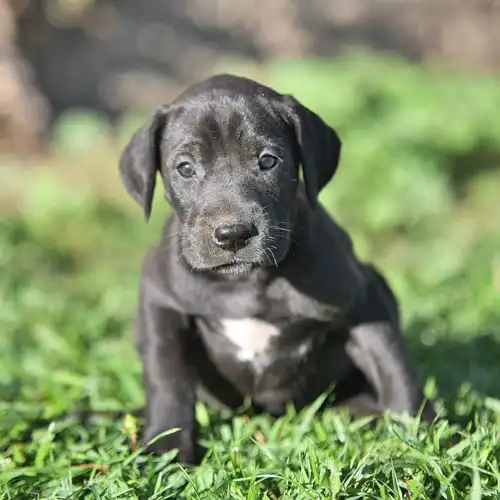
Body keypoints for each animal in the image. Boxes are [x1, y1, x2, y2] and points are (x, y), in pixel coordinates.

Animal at [118, 72, 434, 462]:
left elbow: (393, 365)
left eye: (268, 161)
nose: (233, 234)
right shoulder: (160, 300)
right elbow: (167, 375)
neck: (247, 282)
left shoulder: (365, 301)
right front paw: (167, 448)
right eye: (185, 168)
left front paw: (415, 436)